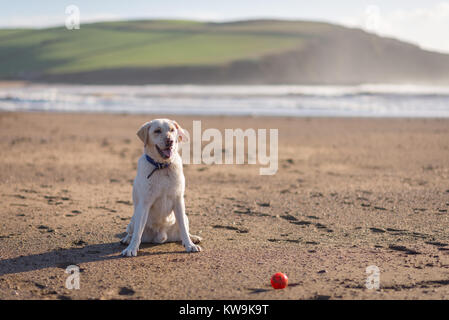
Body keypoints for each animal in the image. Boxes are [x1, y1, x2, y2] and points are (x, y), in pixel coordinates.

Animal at [121, 119, 201, 256]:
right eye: (157, 131)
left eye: (172, 130)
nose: (170, 141)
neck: (161, 167)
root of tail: (161, 237)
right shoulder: (144, 203)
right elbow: (137, 232)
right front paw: (131, 248)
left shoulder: (178, 200)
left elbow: (183, 229)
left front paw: (190, 245)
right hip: (133, 220)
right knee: (132, 231)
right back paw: (127, 239)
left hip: (185, 217)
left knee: (183, 230)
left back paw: (193, 238)